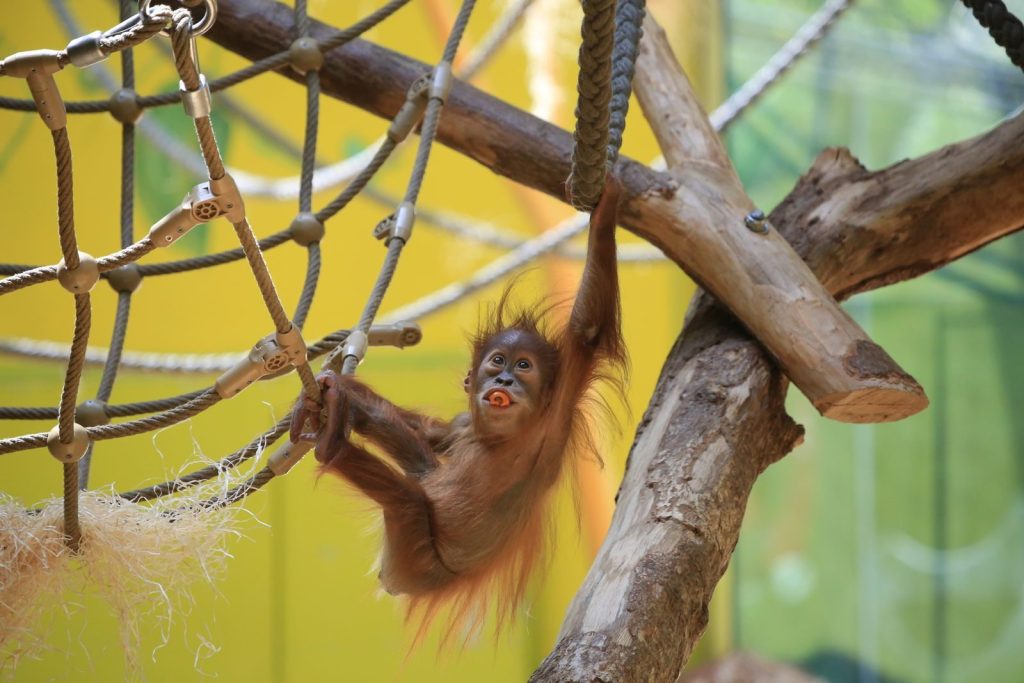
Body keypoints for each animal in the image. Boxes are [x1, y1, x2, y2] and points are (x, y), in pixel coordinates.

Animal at [290, 176, 626, 639]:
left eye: (524, 366)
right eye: (497, 362)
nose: (504, 382)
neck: (498, 437)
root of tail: (393, 579)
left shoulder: (558, 406)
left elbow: (587, 331)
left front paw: (607, 210)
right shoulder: (466, 423)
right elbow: (432, 434)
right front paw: (340, 391)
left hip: (415, 558)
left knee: (407, 497)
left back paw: (331, 445)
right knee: (418, 462)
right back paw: (341, 406)